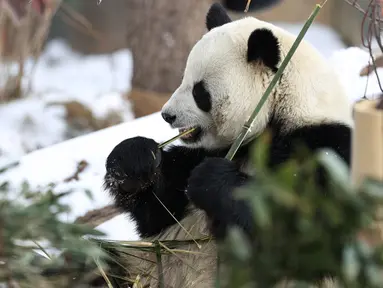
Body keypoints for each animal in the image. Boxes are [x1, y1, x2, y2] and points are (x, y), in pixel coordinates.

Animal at [103, 2, 354, 288]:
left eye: (199, 92)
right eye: (183, 79)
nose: (167, 115)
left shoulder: (326, 149)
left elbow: (305, 235)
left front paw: (211, 179)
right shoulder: (205, 152)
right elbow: (159, 212)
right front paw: (134, 159)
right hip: (145, 268)